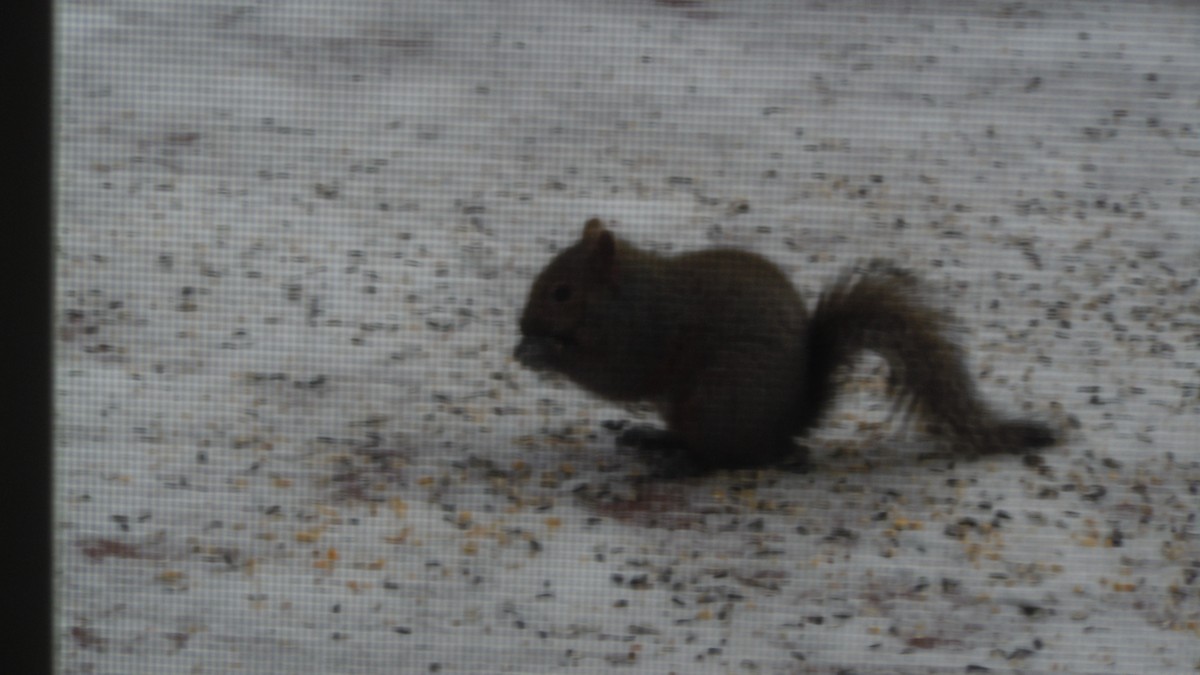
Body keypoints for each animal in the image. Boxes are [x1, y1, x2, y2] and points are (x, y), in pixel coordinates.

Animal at [514, 218, 1057, 472]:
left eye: (562, 292)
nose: (522, 324)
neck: (623, 293)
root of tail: (788, 424)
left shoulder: (644, 331)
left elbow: (615, 375)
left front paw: (540, 353)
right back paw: (656, 439)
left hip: (718, 396)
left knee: (725, 458)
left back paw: (679, 463)